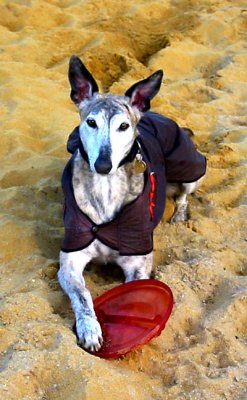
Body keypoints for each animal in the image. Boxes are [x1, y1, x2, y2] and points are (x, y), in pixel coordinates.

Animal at [57, 55, 205, 350]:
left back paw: (179, 216)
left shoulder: (138, 262)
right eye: (91, 122)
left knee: (184, 194)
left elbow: (130, 290)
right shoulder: (70, 258)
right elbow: (82, 295)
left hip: (189, 167)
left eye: (123, 126)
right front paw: (90, 328)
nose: (103, 165)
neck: (105, 190)